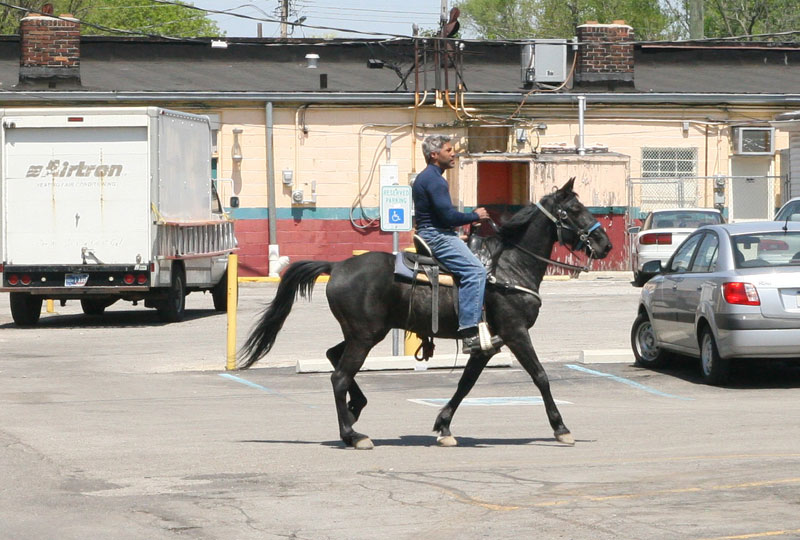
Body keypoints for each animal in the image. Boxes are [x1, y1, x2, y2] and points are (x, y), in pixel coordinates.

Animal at [238, 179, 612, 450]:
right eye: (574, 209)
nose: (605, 245)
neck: (508, 266)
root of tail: (337, 265)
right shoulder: (515, 331)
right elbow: (541, 376)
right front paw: (561, 428)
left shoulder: (486, 344)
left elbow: (465, 383)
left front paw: (443, 426)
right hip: (365, 335)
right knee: (339, 376)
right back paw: (353, 435)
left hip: (361, 333)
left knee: (333, 357)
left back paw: (356, 408)